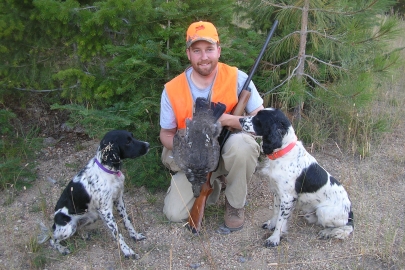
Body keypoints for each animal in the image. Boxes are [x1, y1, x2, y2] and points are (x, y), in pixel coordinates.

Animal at [48, 130, 148, 258]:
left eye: (132, 137)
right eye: (127, 142)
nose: (148, 145)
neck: (108, 171)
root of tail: (55, 223)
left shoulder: (119, 199)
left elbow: (127, 221)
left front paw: (135, 235)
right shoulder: (105, 211)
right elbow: (117, 233)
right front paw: (128, 251)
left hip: (92, 217)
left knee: (78, 229)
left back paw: (84, 235)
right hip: (68, 227)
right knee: (52, 239)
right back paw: (62, 249)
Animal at [238, 109, 352, 247]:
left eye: (258, 118)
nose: (240, 119)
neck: (283, 152)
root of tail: (350, 211)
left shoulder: (287, 198)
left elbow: (281, 220)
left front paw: (274, 238)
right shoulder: (277, 192)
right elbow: (276, 212)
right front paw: (271, 224)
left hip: (324, 212)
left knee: (347, 227)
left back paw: (328, 232)